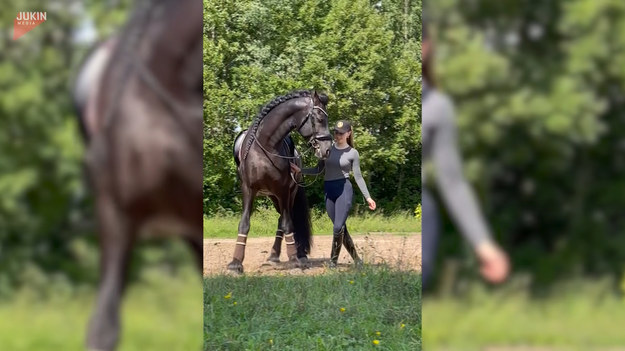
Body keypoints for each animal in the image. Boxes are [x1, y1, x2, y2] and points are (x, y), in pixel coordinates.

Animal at [232, 90, 334, 272]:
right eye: (320, 118)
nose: (327, 149)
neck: (265, 147)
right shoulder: (248, 189)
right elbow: (244, 223)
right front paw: (236, 263)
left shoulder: (284, 191)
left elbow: (288, 224)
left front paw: (294, 260)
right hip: (273, 196)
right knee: (281, 219)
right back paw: (274, 256)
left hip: (286, 195)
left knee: (285, 221)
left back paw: (295, 255)